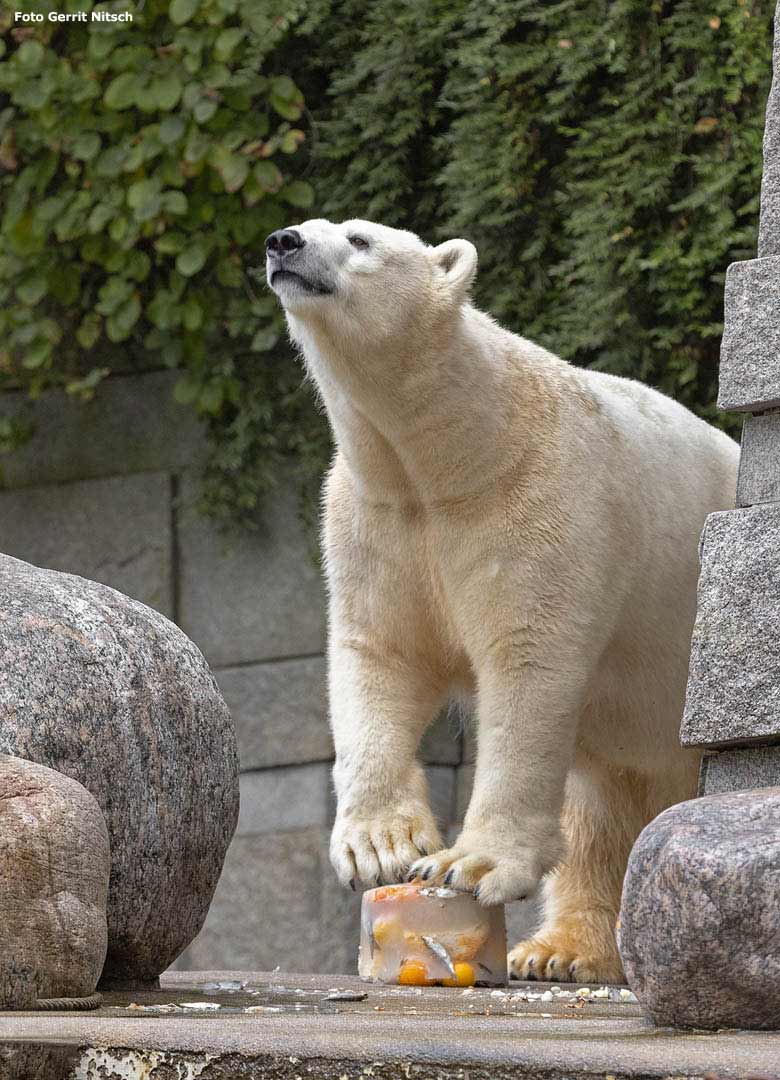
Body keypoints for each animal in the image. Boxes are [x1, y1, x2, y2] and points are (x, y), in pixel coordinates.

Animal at [264, 214, 738, 984]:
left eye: (360, 239)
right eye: (308, 225)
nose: (284, 242)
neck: (457, 454)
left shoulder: (540, 503)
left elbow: (527, 666)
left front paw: (468, 864)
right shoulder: (378, 520)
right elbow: (380, 655)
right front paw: (381, 847)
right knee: (600, 809)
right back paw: (559, 952)